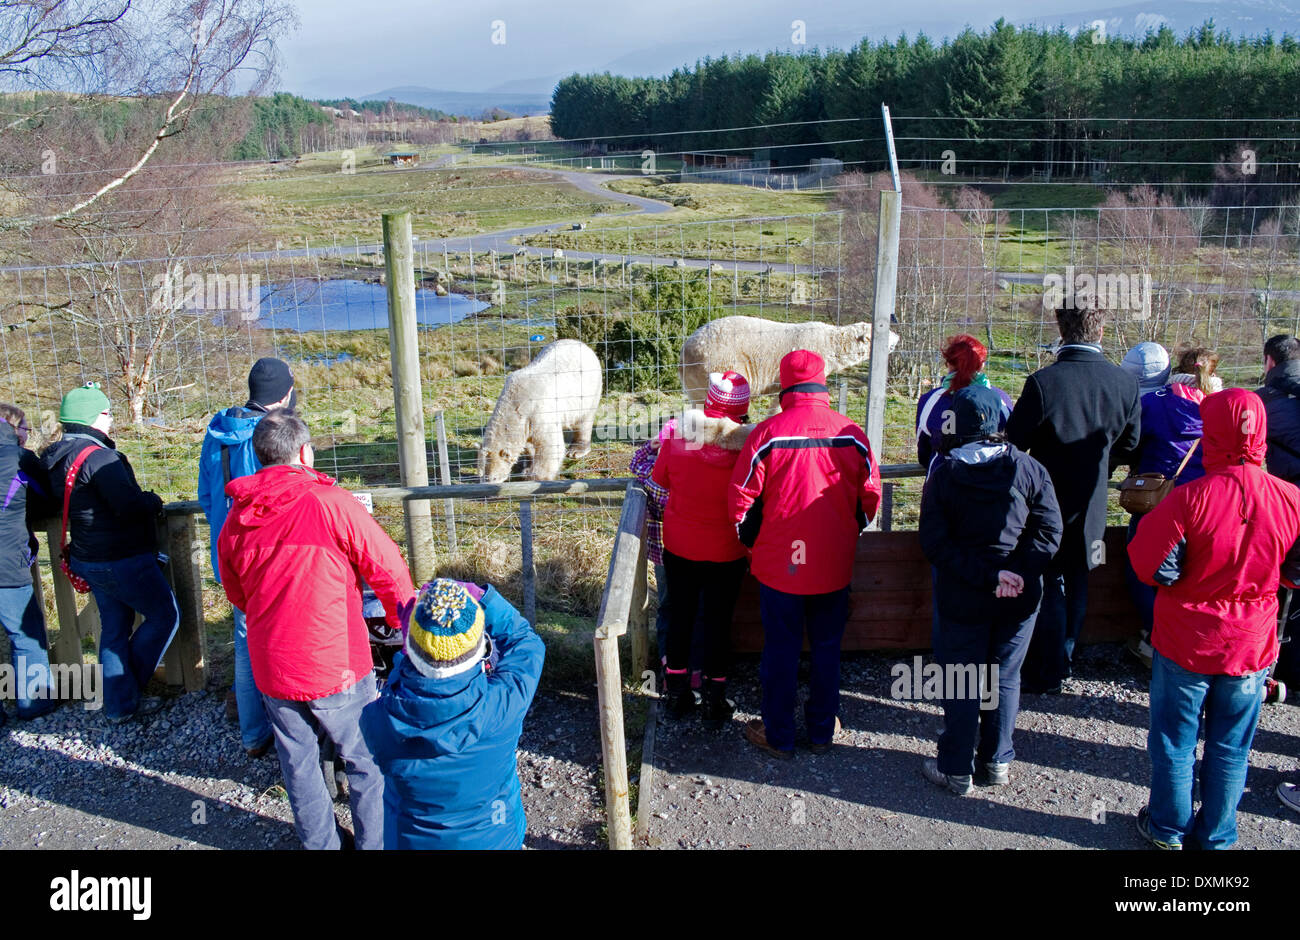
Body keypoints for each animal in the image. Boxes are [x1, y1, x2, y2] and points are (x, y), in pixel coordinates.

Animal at [478, 340, 603, 486]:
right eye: (481, 475)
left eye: (492, 478)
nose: (486, 483)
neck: (515, 402)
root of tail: (582, 344)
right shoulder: (526, 423)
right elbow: (529, 445)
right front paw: (526, 469)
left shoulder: (539, 412)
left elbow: (550, 446)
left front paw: (536, 477)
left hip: (588, 391)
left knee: (583, 420)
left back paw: (576, 450)